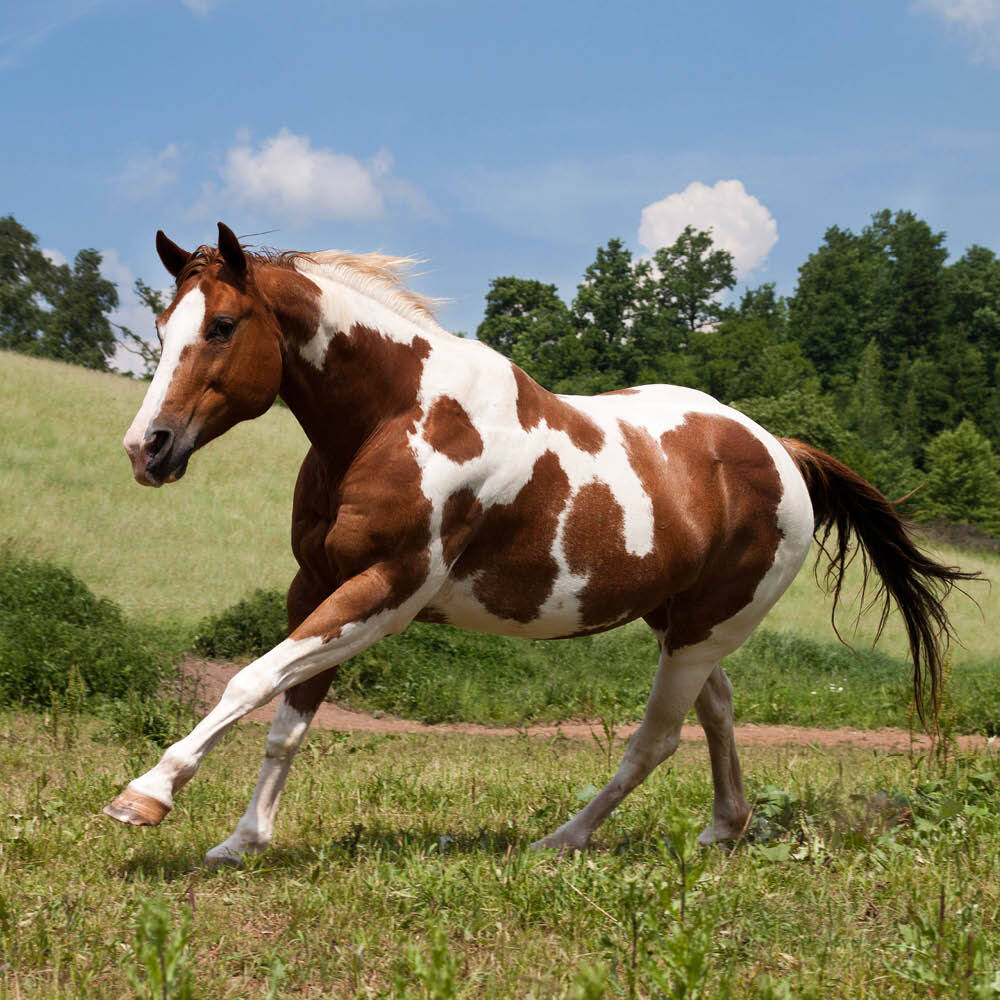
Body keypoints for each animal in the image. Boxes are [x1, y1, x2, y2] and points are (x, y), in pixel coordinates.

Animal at [105, 222, 976, 868]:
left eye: (222, 326)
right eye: (163, 328)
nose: (146, 448)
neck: (397, 414)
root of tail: (782, 451)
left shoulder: (386, 591)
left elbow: (250, 680)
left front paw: (148, 794)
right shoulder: (317, 583)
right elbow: (289, 716)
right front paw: (243, 841)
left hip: (698, 632)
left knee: (655, 740)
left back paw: (561, 841)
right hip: (683, 622)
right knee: (719, 710)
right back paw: (720, 829)